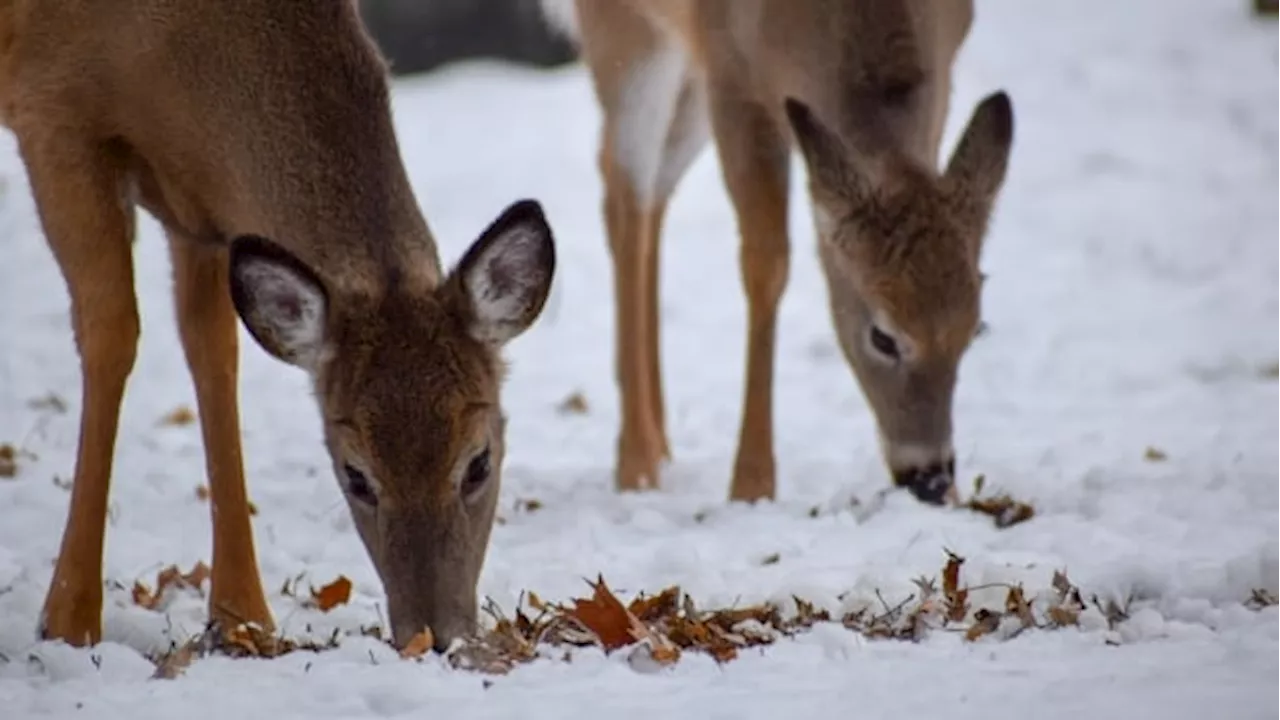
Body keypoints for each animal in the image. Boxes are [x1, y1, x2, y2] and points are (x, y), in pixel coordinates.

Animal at [2, 0, 558, 650]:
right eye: (355, 476)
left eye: (479, 464)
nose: (435, 638)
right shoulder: (49, 108)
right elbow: (111, 331)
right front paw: (67, 618)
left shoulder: (202, 210)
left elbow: (213, 352)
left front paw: (242, 620)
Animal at [535, 0, 1013, 504]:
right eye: (882, 337)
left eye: (974, 330)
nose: (930, 478)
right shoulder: (731, 75)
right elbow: (767, 264)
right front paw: (752, 485)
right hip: (627, 40)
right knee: (626, 195)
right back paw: (638, 465)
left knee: (650, 191)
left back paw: (661, 447)